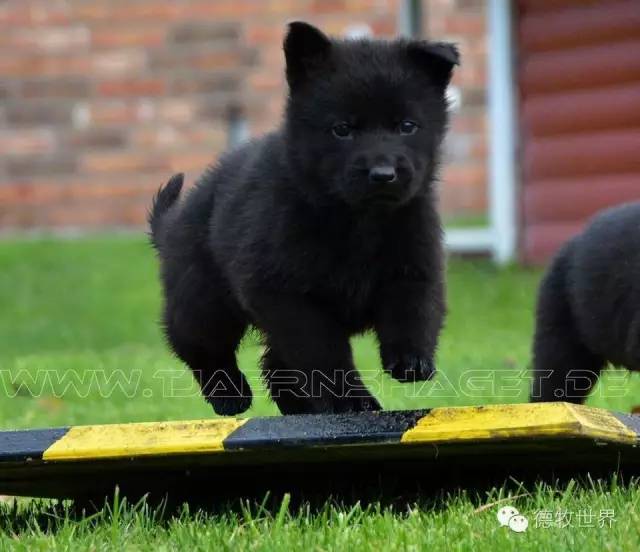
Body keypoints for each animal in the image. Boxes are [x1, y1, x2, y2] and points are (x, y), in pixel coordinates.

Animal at [148, 23, 458, 416]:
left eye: (407, 126)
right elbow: (323, 354)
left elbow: (414, 310)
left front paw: (411, 361)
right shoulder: (287, 296)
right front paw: (352, 401)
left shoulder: (414, 262)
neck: (357, 220)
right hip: (202, 294)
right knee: (195, 341)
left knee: (275, 365)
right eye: (342, 129)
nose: (383, 174)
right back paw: (229, 395)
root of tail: (173, 221)